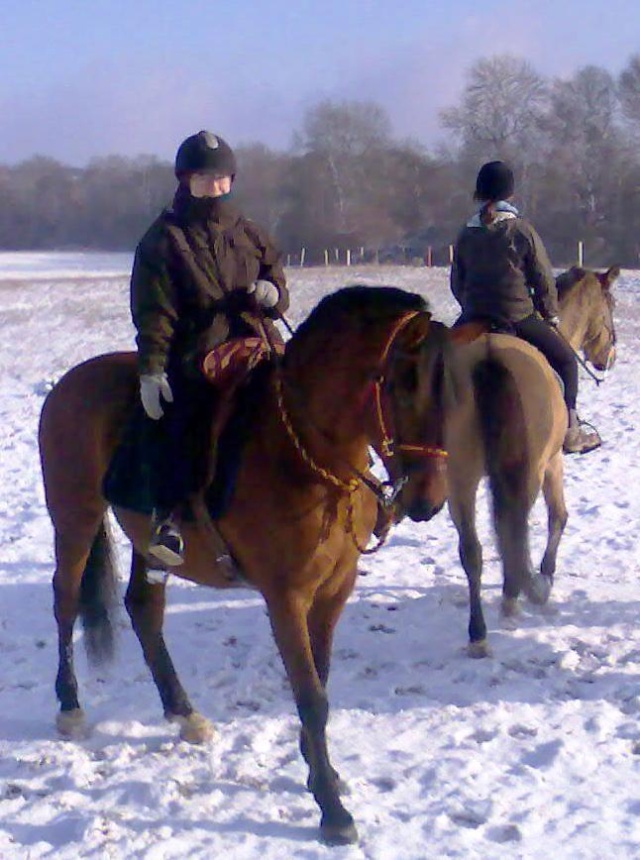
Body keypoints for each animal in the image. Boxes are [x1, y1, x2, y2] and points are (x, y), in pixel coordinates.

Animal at [40, 284, 450, 848]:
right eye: (402, 384)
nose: (429, 498)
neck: (305, 455)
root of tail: (69, 383)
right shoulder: (286, 597)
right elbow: (311, 695)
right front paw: (332, 810)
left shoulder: (334, 590)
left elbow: (320, 682)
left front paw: (318, 770)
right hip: (74, 517)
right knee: (64, 601)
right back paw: (70, 706)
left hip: (145, 540)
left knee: (144, 609)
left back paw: (184, 712)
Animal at [418, 266, 616, 656]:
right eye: (609, 306)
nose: (609, 357)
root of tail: (490, 355)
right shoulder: (552, 463)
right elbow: (559, 516)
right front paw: (546, 575)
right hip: (528, 469)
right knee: (514, 526)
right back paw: (514, 596)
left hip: (460, 476)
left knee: (473, 549)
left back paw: (478, 634)